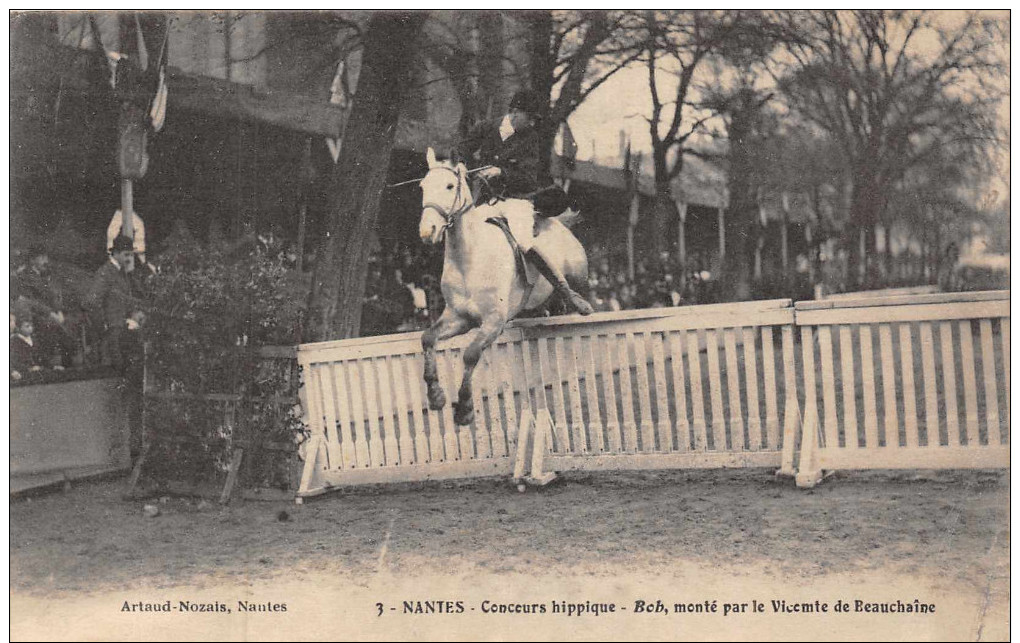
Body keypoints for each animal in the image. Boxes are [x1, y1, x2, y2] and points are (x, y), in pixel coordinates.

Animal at [416, 149, 591, 426]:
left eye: (449, 186)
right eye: (423, 186)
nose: (427, 231)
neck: (469, 260)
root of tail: (561, 225)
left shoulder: (493, 321)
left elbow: (470, 354)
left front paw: (465, 409)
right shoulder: (459, 318)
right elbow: (428, 338)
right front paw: (436, 396)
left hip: (577, 277)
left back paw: (578, 302)